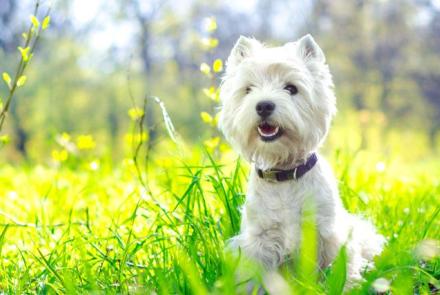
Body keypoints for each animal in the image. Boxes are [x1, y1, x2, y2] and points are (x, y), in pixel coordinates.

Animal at [217, 34, 384, 284]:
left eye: (291, 88)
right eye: (248, 89)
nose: (263, 105)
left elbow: (339, 268)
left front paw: (348, 285)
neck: (284, 174)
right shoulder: (259, 240)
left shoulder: (327, 233)